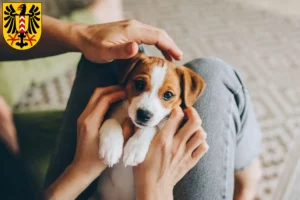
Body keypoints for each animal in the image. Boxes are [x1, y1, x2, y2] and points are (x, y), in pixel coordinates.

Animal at [96, 52, 206, 199]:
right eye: (140, 83)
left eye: (168, 95)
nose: (144, 114)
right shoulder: (112, 113)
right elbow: (111, 121)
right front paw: (111, 148)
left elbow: (151, 127)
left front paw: (135, 148)